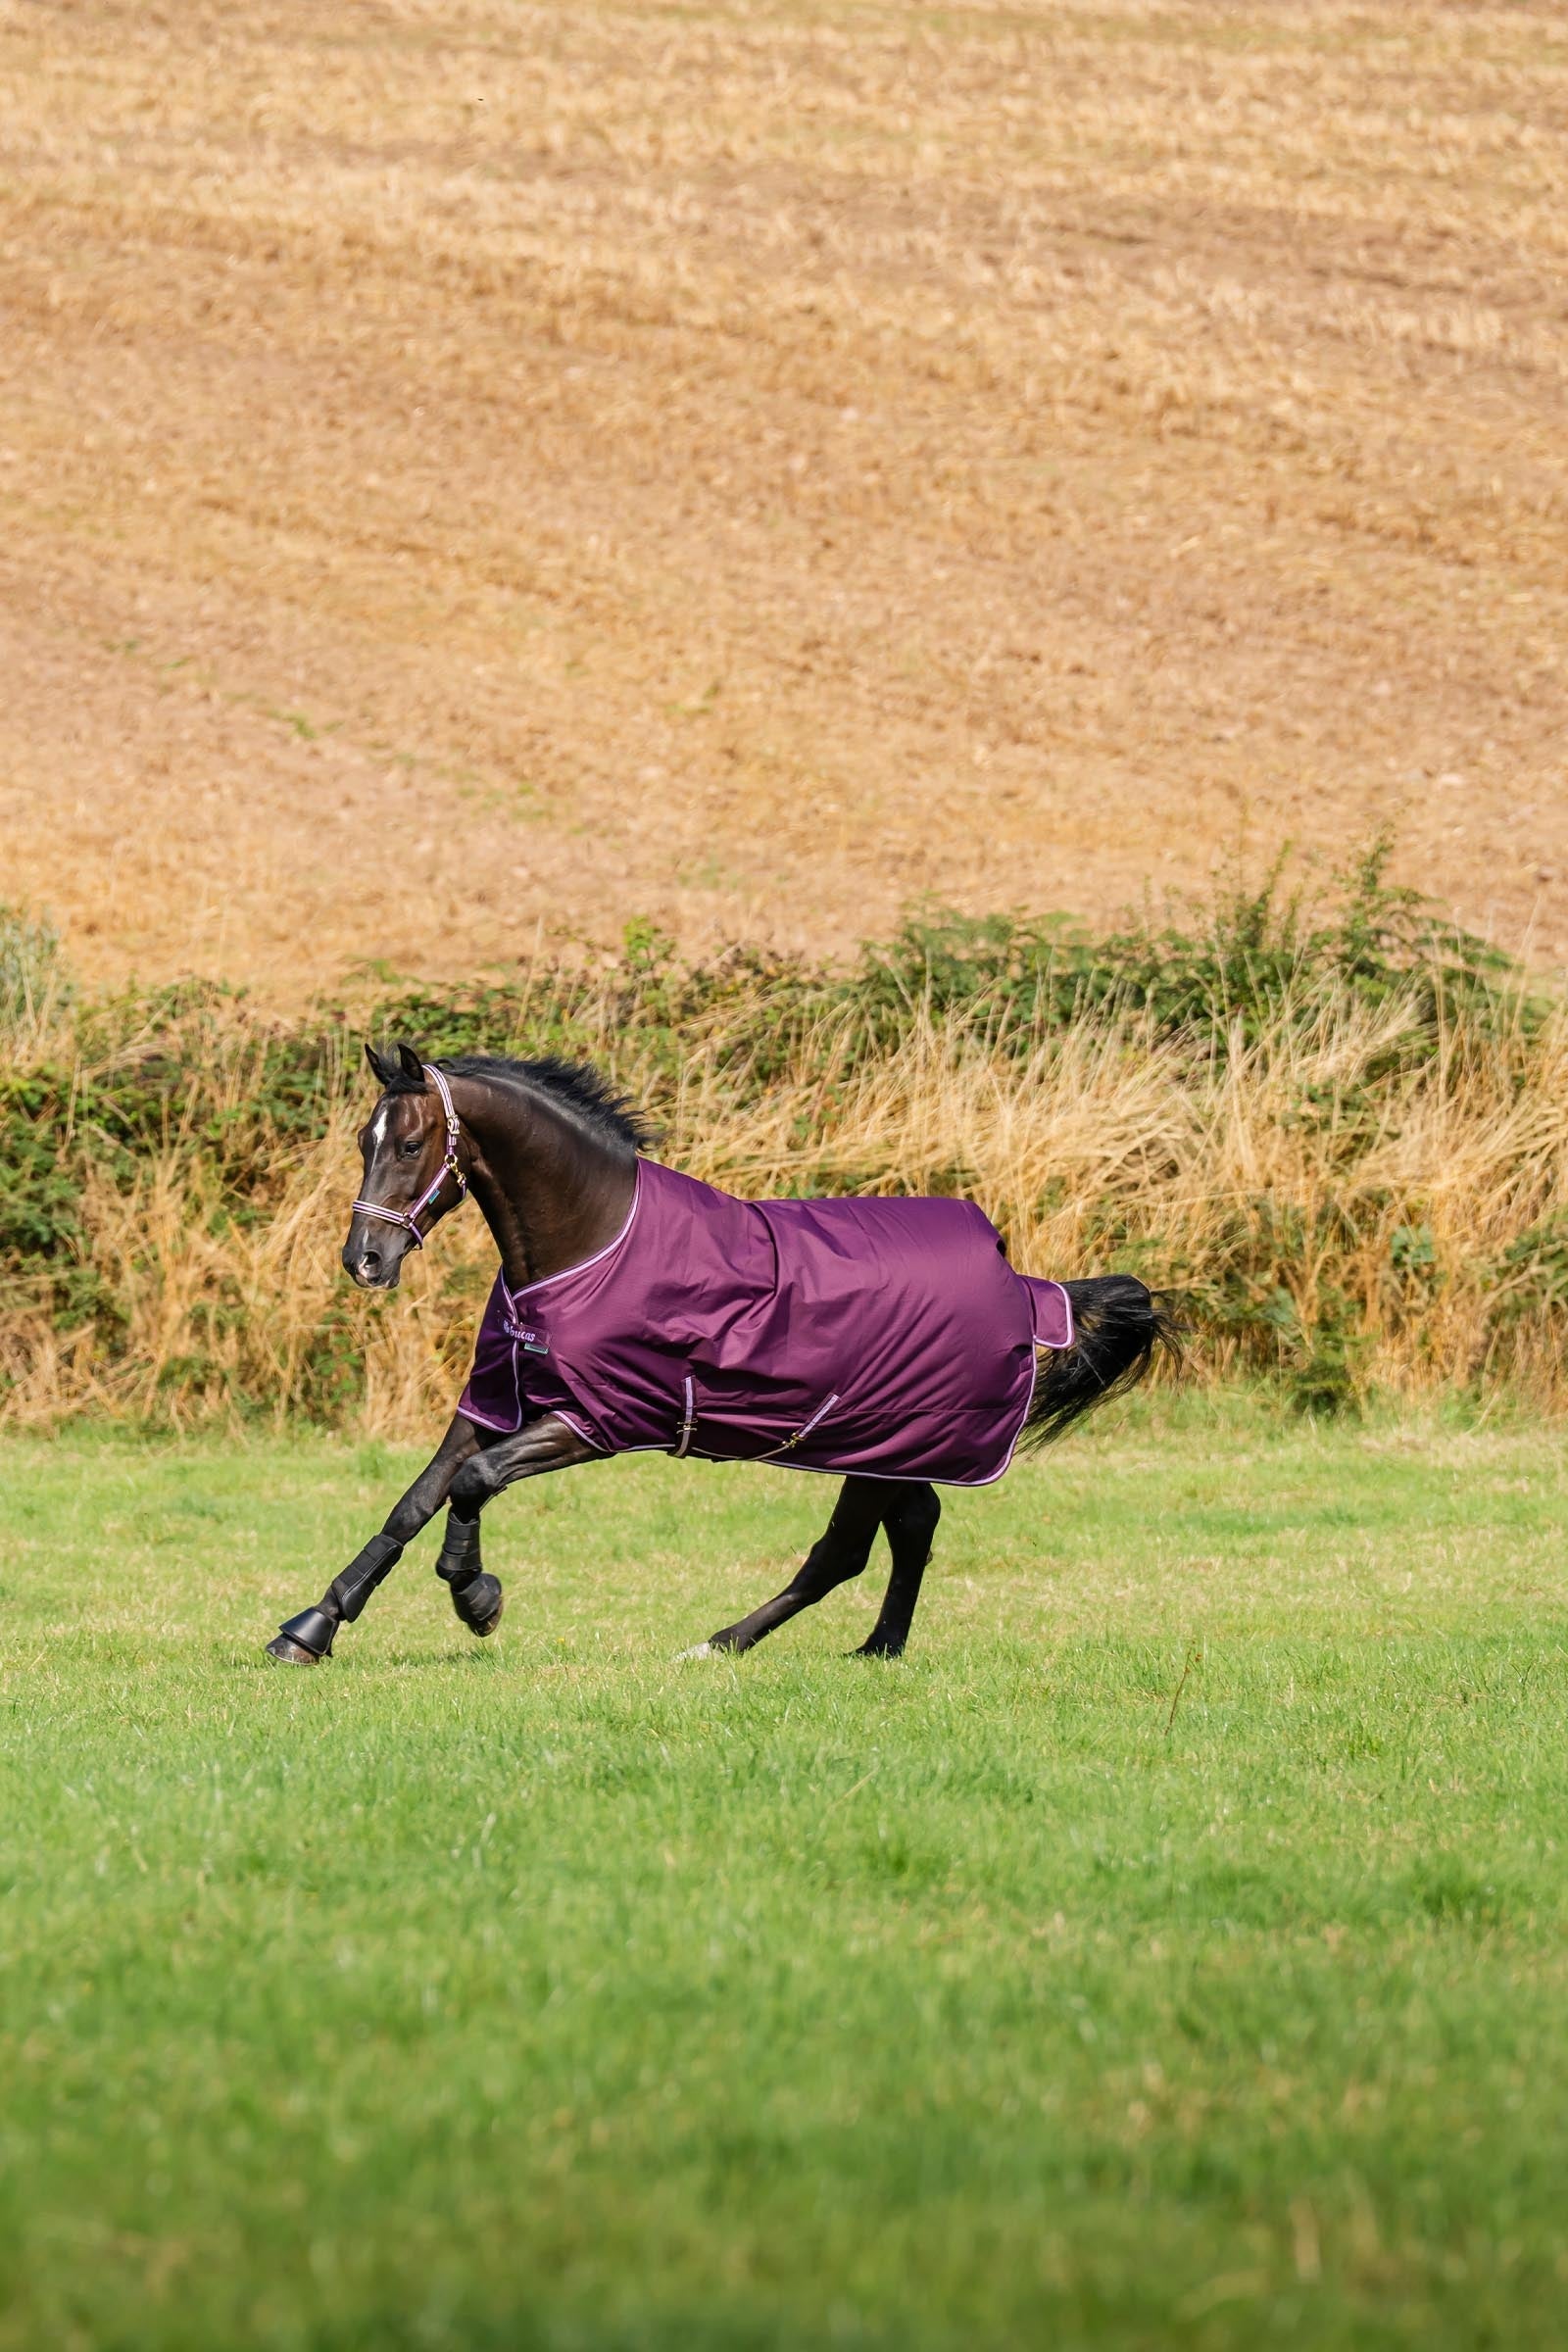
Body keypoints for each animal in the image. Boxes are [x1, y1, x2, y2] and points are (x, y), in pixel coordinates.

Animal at [266, 1043, 1180, 1667]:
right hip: (892, 1446)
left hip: (884, 1440)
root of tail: (1020, 1278)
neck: (589, 1243)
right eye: (363, 1139)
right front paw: (309, 1629)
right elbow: (414, 1503)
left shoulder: (597, 1419)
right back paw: (874, 1647)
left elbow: (473, 1484)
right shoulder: (497, 1399)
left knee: (847, 1549)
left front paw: (477, 1600)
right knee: (911, 1527)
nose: (365, 1261)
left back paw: (723, 1642)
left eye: (410, 1144)